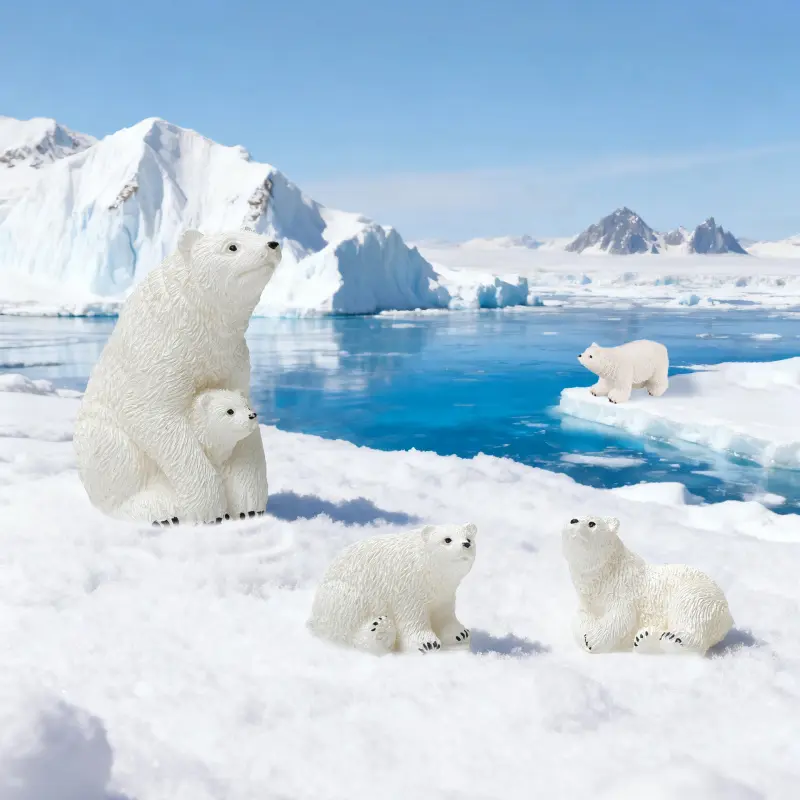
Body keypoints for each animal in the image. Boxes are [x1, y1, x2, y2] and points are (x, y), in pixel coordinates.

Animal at [307, 523, 477, 655]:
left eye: (469, 538)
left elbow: (444, 613)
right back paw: (380, 629)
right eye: (447, 539)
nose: (466, 545)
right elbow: (412, 616)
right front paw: (427, 643)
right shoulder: (408, 586)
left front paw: (460, 633)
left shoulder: (443, 591)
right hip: (342, 594)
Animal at [562, 515, 733, 656]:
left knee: (689, 614)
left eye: (592, 523)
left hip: (697, 595)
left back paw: (670, 639)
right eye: (575, 517)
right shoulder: (588, 600)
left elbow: (621, 617)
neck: (605, 573)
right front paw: (586, 634)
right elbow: (579, 619)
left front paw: (592, 640)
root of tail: (728, 616)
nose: (573, 521)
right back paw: (646, 638)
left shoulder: (623, 588)